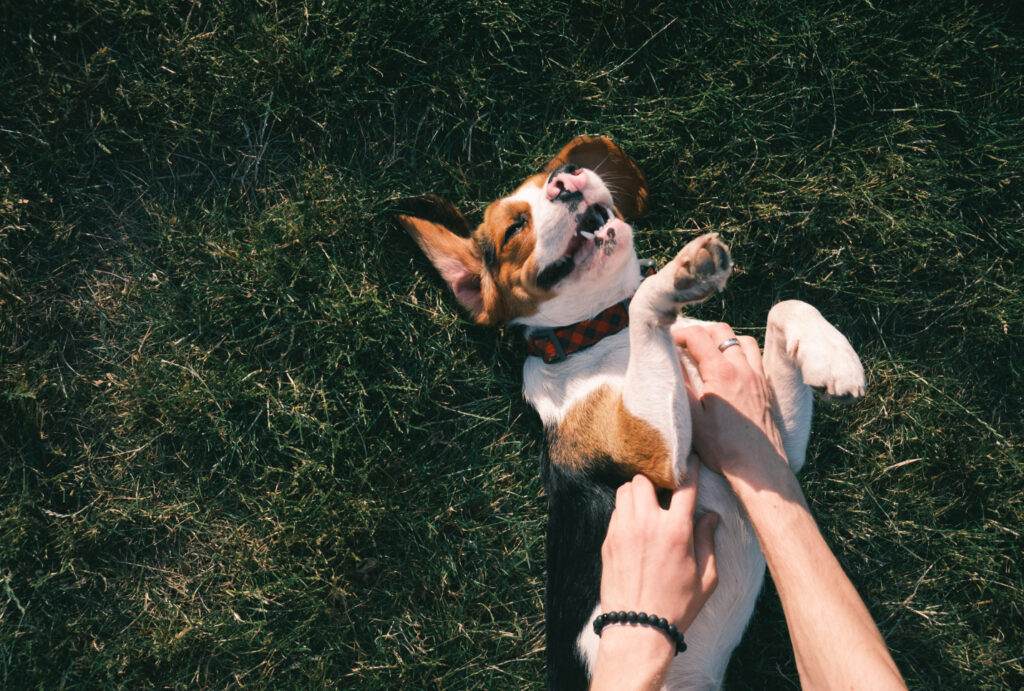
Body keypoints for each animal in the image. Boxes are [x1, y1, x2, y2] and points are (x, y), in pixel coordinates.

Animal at [397, 138, 864, 687]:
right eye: (513, 228)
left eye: (563, 170)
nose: (566, 178)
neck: (606, 332)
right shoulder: (658, 454)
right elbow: (645, 296)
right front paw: (676, 276)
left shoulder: (773, 452)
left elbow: (784, 306)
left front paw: (833, 357)